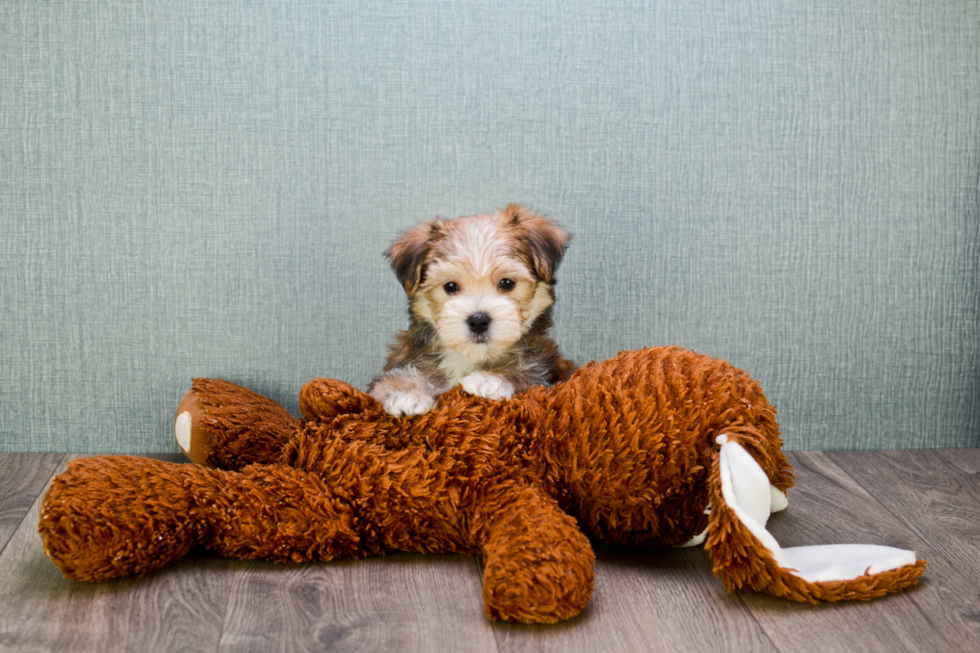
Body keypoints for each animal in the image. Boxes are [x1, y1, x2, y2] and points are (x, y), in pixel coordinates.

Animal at [372, 204, 580, 418]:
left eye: (507, 283)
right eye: (450, 286)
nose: (478, 320)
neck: (470, 356)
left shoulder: (546, 375)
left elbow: (526, 374)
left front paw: (489, 380)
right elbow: (391, 380)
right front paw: (407, 395)